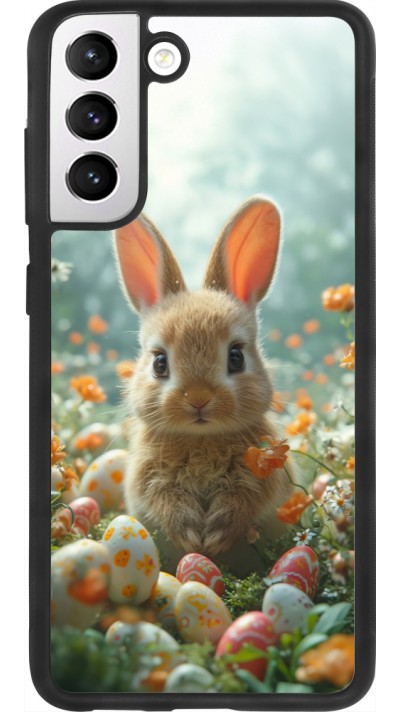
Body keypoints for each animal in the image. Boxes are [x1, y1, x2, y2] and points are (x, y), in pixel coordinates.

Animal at [114, 196, 294, 561]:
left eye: (236, 357)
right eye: (159, 363)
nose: (198, 399)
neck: (201, 439)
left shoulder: (261, 475)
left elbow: (243, 501)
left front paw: (215, 536)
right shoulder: (148, 478)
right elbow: (164, 500)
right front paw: (191, 535)